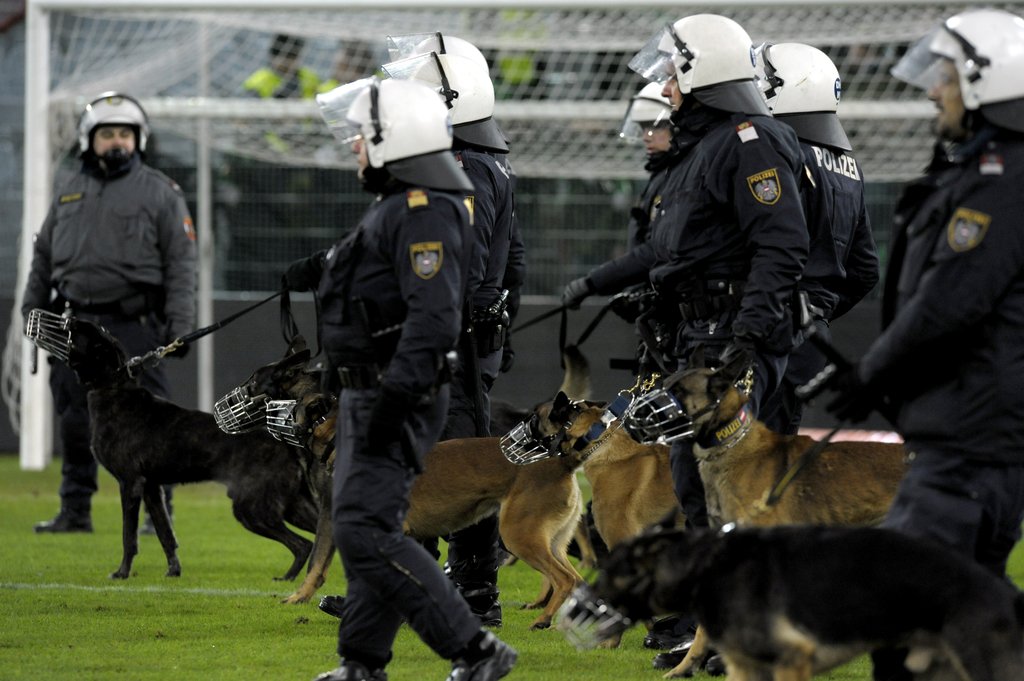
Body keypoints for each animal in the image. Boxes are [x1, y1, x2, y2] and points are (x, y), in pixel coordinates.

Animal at [33, 313, 320, 581]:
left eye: (74, 330)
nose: (68, 316)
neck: (113, 388)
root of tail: (288, 446)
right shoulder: (151, 488)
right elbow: (165, 534)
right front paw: (173, 570)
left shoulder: (130, 483)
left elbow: (129, 536)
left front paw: (122, 573)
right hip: (291, 506)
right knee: (317, 538)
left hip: (252, 508)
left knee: (303, 544)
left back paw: (289, 579)